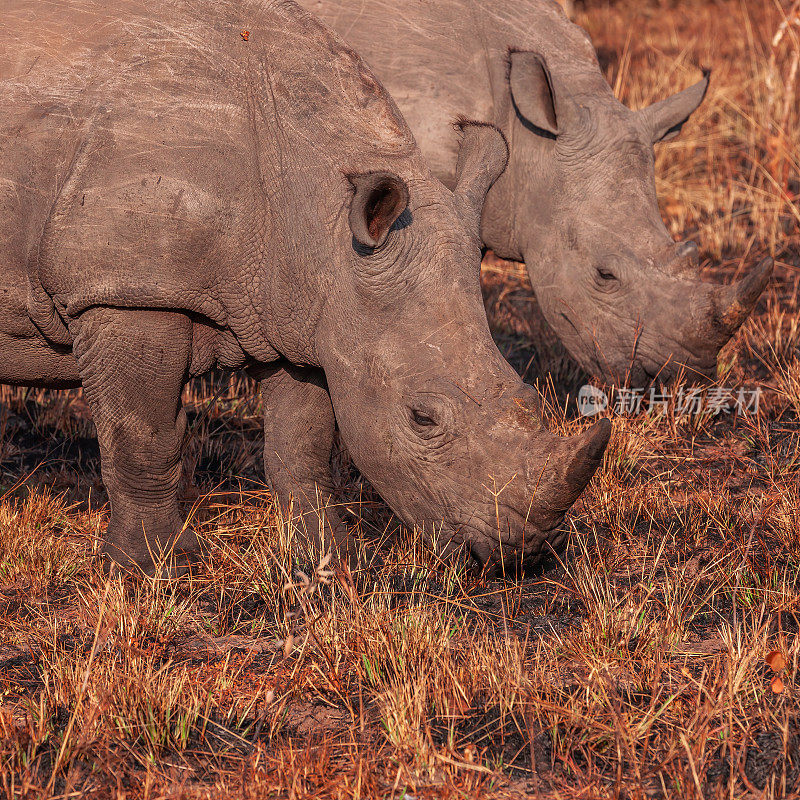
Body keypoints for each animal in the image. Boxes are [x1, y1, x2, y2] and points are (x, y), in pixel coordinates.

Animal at [1, 0, 612, 576]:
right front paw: (154, 569)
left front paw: (330, 558)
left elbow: (303, 444)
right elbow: (143, 439)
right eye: (422, 418)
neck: (317, 210)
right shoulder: (126, 287)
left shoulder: (305, 307)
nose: (523, 551)